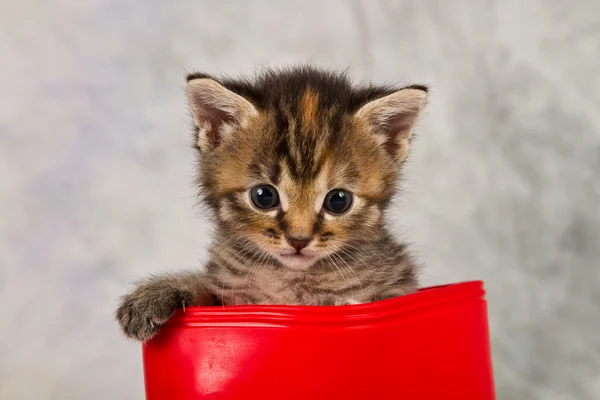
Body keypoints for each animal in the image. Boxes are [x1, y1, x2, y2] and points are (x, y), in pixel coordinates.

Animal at [116, 65, 426, 340]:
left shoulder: (398, 287)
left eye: (339, 201)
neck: (291, 279)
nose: (299, 240)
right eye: (263, 196)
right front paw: (160, 292)